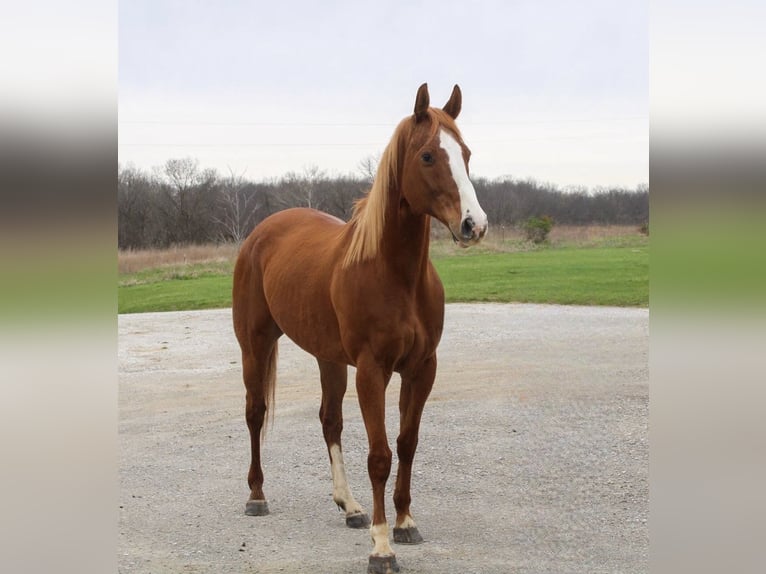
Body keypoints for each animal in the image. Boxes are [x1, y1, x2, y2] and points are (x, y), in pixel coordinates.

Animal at [232, 83, 488, 574]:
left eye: (465, 153)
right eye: (428, 156)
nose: (474, 224)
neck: (394, 274)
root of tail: (261, 233)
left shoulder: (421, 369)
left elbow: (407, 443)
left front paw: (405, 523)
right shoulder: (372, 372)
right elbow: (380, 455)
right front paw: (381, 546)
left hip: (327, 358)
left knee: (329, 422)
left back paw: (349, 506)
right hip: (255, 346)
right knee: (255, 413)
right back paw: (256, 495)